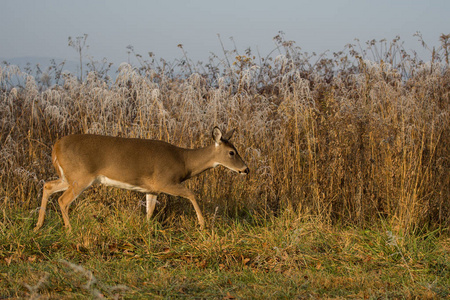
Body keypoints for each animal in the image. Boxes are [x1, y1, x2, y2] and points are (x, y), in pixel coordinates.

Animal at [33, 127, 248, 232]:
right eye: (232, 152)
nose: (246, 169)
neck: (184, 161)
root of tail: (56, 147)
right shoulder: (164, 181)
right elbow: (191, 193)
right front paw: (203, 225)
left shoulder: (151, 189)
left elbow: (149, 211)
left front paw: (145, 230)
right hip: (80, 176)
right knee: (63, 200)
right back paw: (69, 230)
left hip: (68, 176)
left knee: (47, 186)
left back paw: (38, 226)